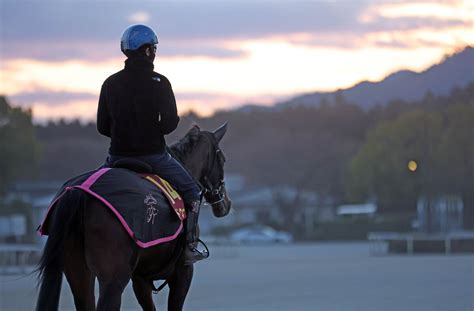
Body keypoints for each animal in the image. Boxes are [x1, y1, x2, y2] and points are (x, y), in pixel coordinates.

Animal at [35, 123, 231, 310]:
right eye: (222, 159)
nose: (226, 204)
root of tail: (78, 191)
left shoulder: (140, 277)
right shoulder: (183, 273)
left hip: (79, 274)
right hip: (113, 280)